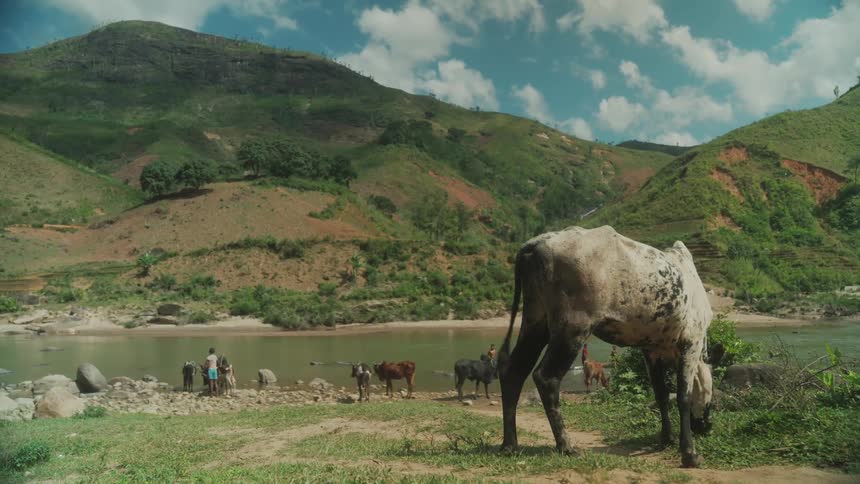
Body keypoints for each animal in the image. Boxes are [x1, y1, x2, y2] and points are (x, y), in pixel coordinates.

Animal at [498, 225, 714, 468]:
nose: (707, 426)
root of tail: (538, 242)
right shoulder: (691, 342)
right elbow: (683, 397)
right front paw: (689, 454)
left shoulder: (651, 350)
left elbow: (660, 394)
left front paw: (667, 438)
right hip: (572, 329)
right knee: (546, 378)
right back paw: (566, 445)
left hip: (536, 322)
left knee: (513, 372)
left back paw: (509, 445)